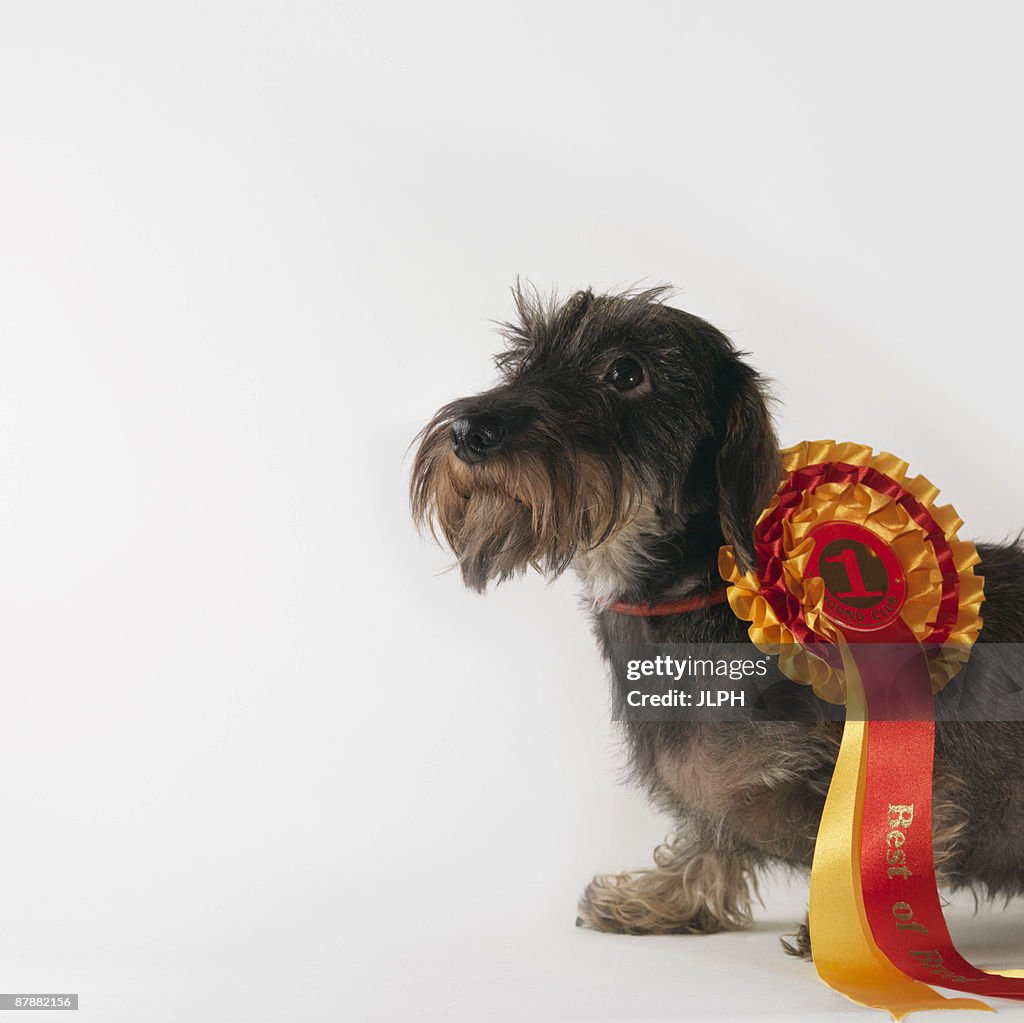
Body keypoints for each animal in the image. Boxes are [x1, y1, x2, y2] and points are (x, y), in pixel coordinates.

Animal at [407, 284, 1024, 954]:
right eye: (521, 359)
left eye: (626, 372)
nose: (468, 432)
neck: (694, 597)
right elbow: (709, 838)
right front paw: (669, 897)